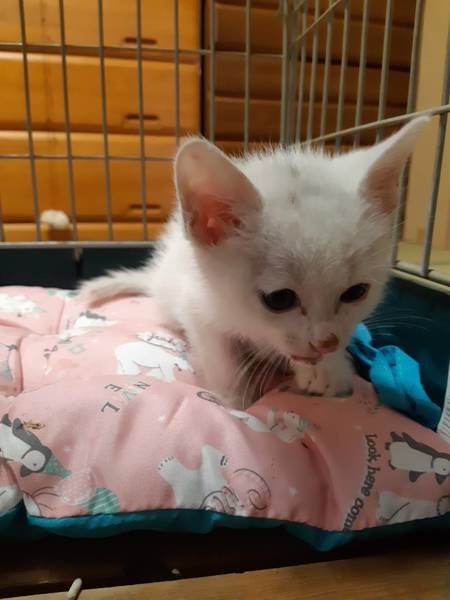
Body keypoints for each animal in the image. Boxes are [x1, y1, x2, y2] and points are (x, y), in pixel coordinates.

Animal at [80, 117, 428, 408]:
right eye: (279, 299)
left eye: (356, 292)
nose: (326, 342)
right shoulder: (196, 303)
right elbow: (219, 353)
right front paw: (235, 401)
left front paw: (329, 371)